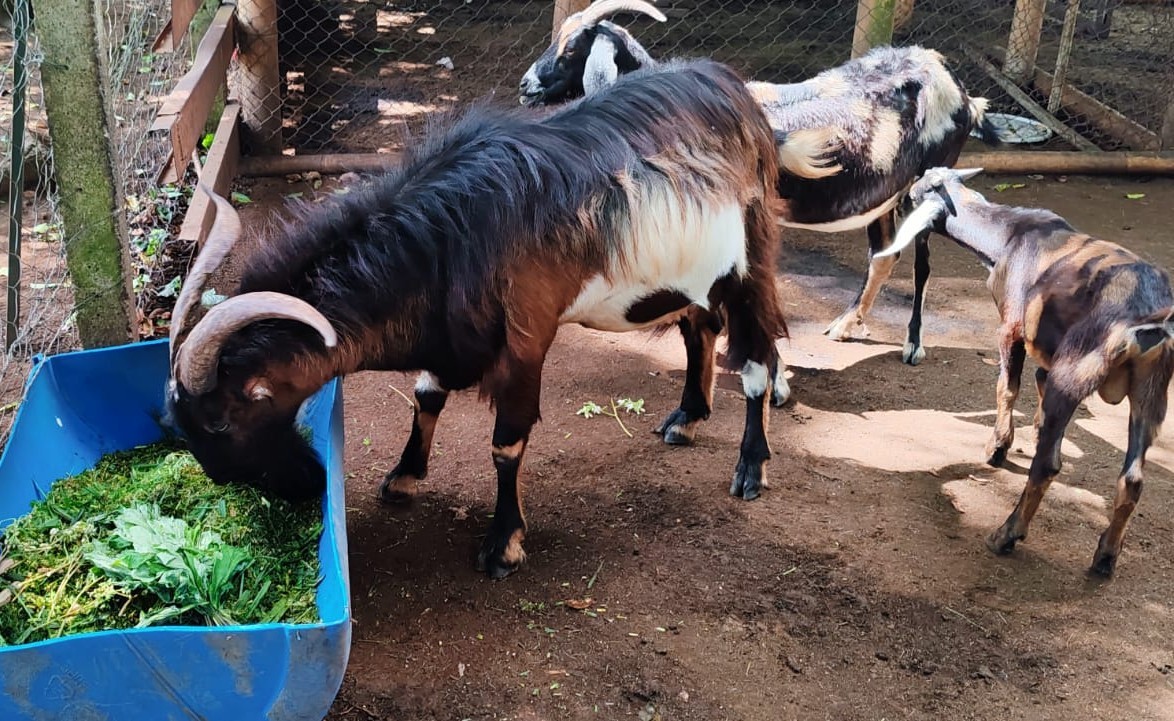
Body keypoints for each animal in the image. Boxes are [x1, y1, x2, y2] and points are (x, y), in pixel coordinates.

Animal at [166, 58, 789, 579]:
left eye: (221, 421)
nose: (305, 483)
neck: (447, 240)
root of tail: (733, 87)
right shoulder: (446, 343)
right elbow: (425, 398)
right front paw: (403, 478)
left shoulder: (526, 340)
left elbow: (505, 445)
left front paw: (503, 545)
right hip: (690, 277)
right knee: (700, 328)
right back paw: (686, 417)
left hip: (752, 252)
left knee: (760, 354)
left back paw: (752, 468)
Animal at [519, 1, 1000, 378]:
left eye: (570, 49)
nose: (525, 87)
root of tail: (961, 91)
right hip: (886, 195)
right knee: (884, 254)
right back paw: (845, 326)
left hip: (928, 181)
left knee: (920, 262)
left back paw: (913, 345)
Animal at [878, 167, 1174, 577]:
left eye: (914, 191)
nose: (895, 206)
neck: (1009, 236)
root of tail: (1150, 322)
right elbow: (1037, 382)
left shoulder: (1012, 329)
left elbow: (1007, 386)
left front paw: (997, 449)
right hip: (1151, 393)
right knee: (1131, 480)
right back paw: (1104, 558)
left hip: (1077, 373)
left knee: (1048, 465)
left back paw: (1006, 534)